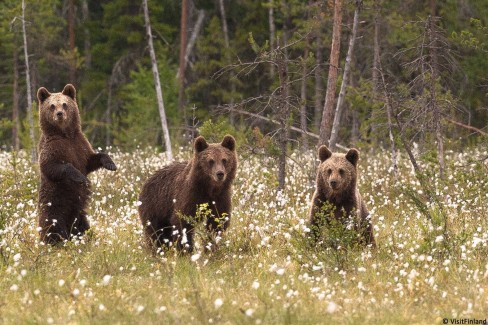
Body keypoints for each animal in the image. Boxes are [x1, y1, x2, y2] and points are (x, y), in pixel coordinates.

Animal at [37, 83, 117, 243]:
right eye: (52, 106)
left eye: (64, 104)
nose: (60, 114)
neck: (65, 135)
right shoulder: (52, 148)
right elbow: (51, 166)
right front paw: (80, 177)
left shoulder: (80, 145)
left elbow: (91, 160)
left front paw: (110, 164)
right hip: (53, 206)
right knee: (52, 227)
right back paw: (54, 241)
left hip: (79, 213)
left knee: (82, 226)